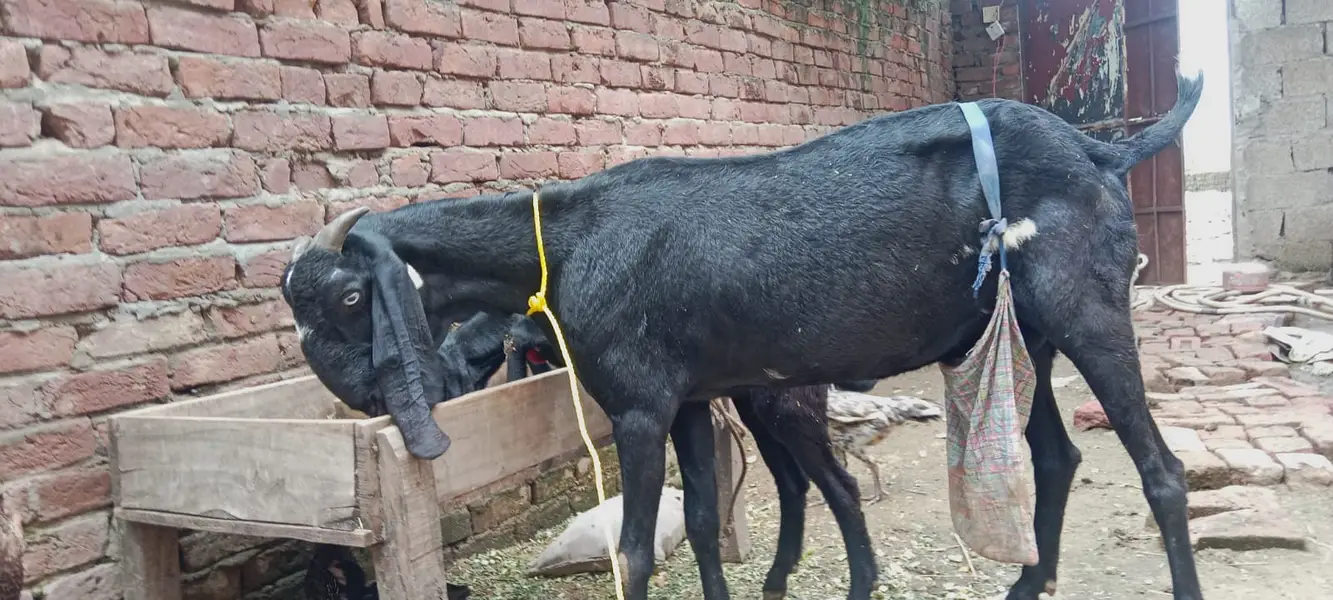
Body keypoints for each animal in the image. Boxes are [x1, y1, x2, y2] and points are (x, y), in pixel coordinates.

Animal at [281, 70, 1206, 600]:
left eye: (353, 297)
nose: (357, 394)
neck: (569, 241)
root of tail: (1098, 150)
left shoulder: (638, 406)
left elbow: (635, 551)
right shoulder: (689, 399)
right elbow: (695, 524)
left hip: (1088, 308)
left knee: (1160, 472)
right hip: (1030, 336)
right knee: (1056, 456)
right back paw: (1023, 586)